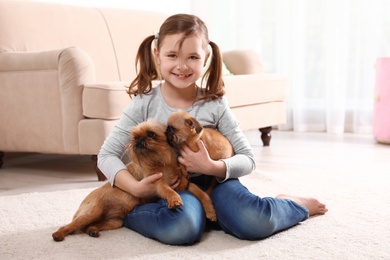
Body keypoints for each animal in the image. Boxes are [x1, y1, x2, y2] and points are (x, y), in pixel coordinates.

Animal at [51, 120, 216, 242]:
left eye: (151, 134)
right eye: (135, 137)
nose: (139, 140)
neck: (161, 161)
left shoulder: (183, 184)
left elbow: (200, 193)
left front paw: (211, 210)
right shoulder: (157, 183)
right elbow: (167, 190)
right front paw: (175, 200)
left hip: (114, 221)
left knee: (89, 226)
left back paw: (92, 230)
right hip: (93, 211)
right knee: (71, 225)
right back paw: (58, 234)